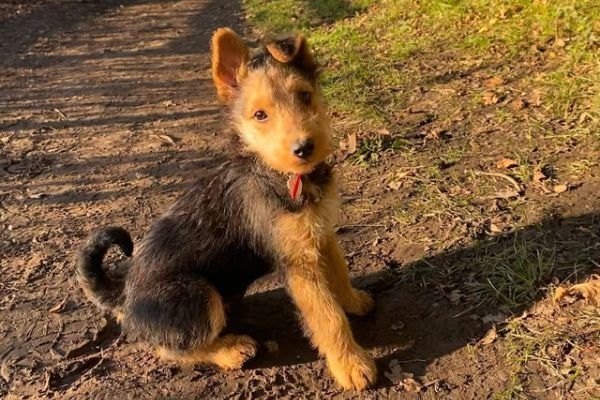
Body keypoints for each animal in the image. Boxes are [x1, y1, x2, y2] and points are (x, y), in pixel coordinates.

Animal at [75, 27, 376, 390]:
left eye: (305, 96)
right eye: (260, 115)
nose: (304, 148)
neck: (280, 174)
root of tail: (124, 293)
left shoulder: (321, 233)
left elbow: (340, 274)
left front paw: (354, 301)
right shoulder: (299, 265)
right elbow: (328, 318)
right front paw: (352, 365)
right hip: (198, 295)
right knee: (171, 348)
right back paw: (232, 350)